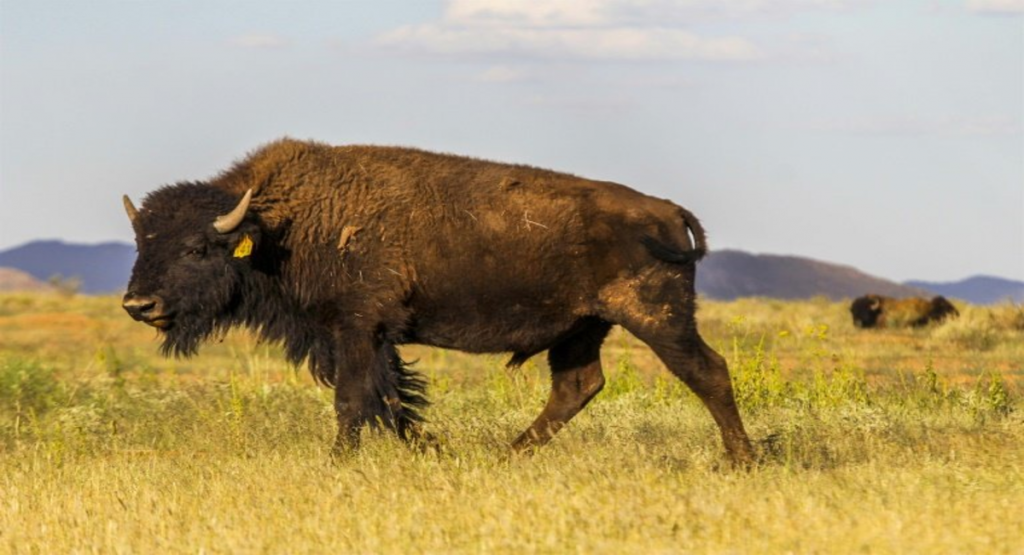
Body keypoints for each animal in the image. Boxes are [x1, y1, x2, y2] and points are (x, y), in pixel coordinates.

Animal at [123, 138, 757, 464]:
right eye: (142, 242)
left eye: (199, 247)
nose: (138, 306)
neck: (281, 223)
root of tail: (667, 209)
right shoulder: (361, 335)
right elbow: (390, 399)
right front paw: (433, 448)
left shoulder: (357, 325)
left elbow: (355, 399)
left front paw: (339, 461)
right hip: (582, 328)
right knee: (577, 386)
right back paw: (506, 455)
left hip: (656, 316)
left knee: (707, 370)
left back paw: (742, 459)